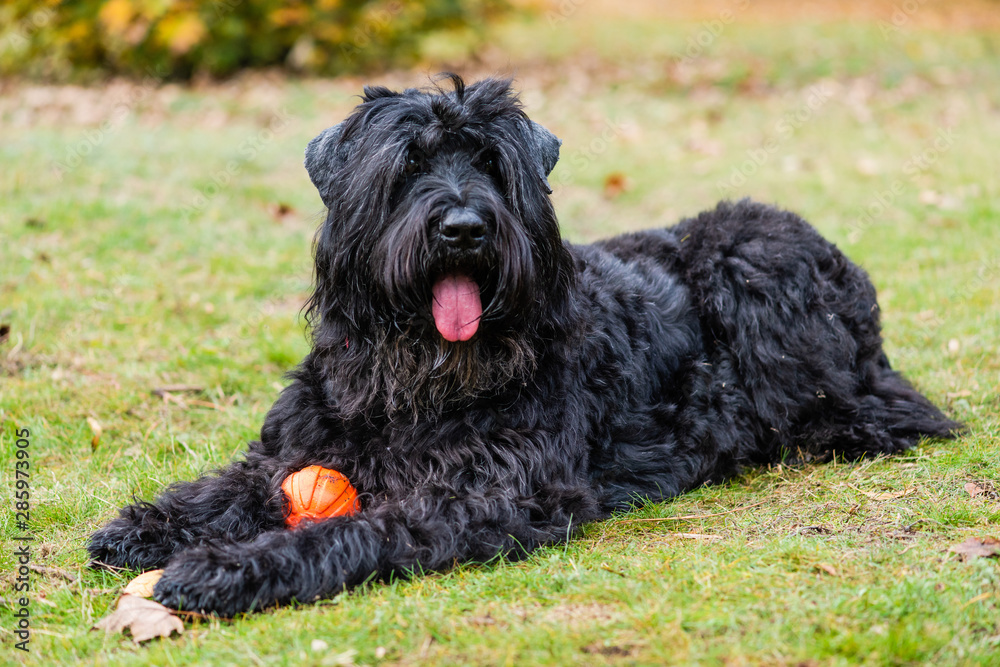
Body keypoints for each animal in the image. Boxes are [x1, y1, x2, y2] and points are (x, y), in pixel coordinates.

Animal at [92, 77, 960, 616]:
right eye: (408, 165)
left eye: (490, 162)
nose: (463, 227)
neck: (409, 382)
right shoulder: (299, 445)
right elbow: (229, 486)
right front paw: (145, 525)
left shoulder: (492, 492)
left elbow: (354, 530)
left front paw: (229, 568)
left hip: (750, 256)